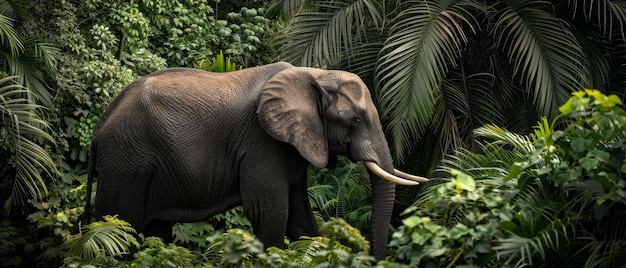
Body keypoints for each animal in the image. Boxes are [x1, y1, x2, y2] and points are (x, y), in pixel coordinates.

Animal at [80, 61, 426, 260]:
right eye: (355, 120)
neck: (315, 74)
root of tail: (98, 130)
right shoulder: (263, 143)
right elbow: (271, 213)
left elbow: (301, 219)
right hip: (127, 161)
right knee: (120, 229)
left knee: (155, 232)